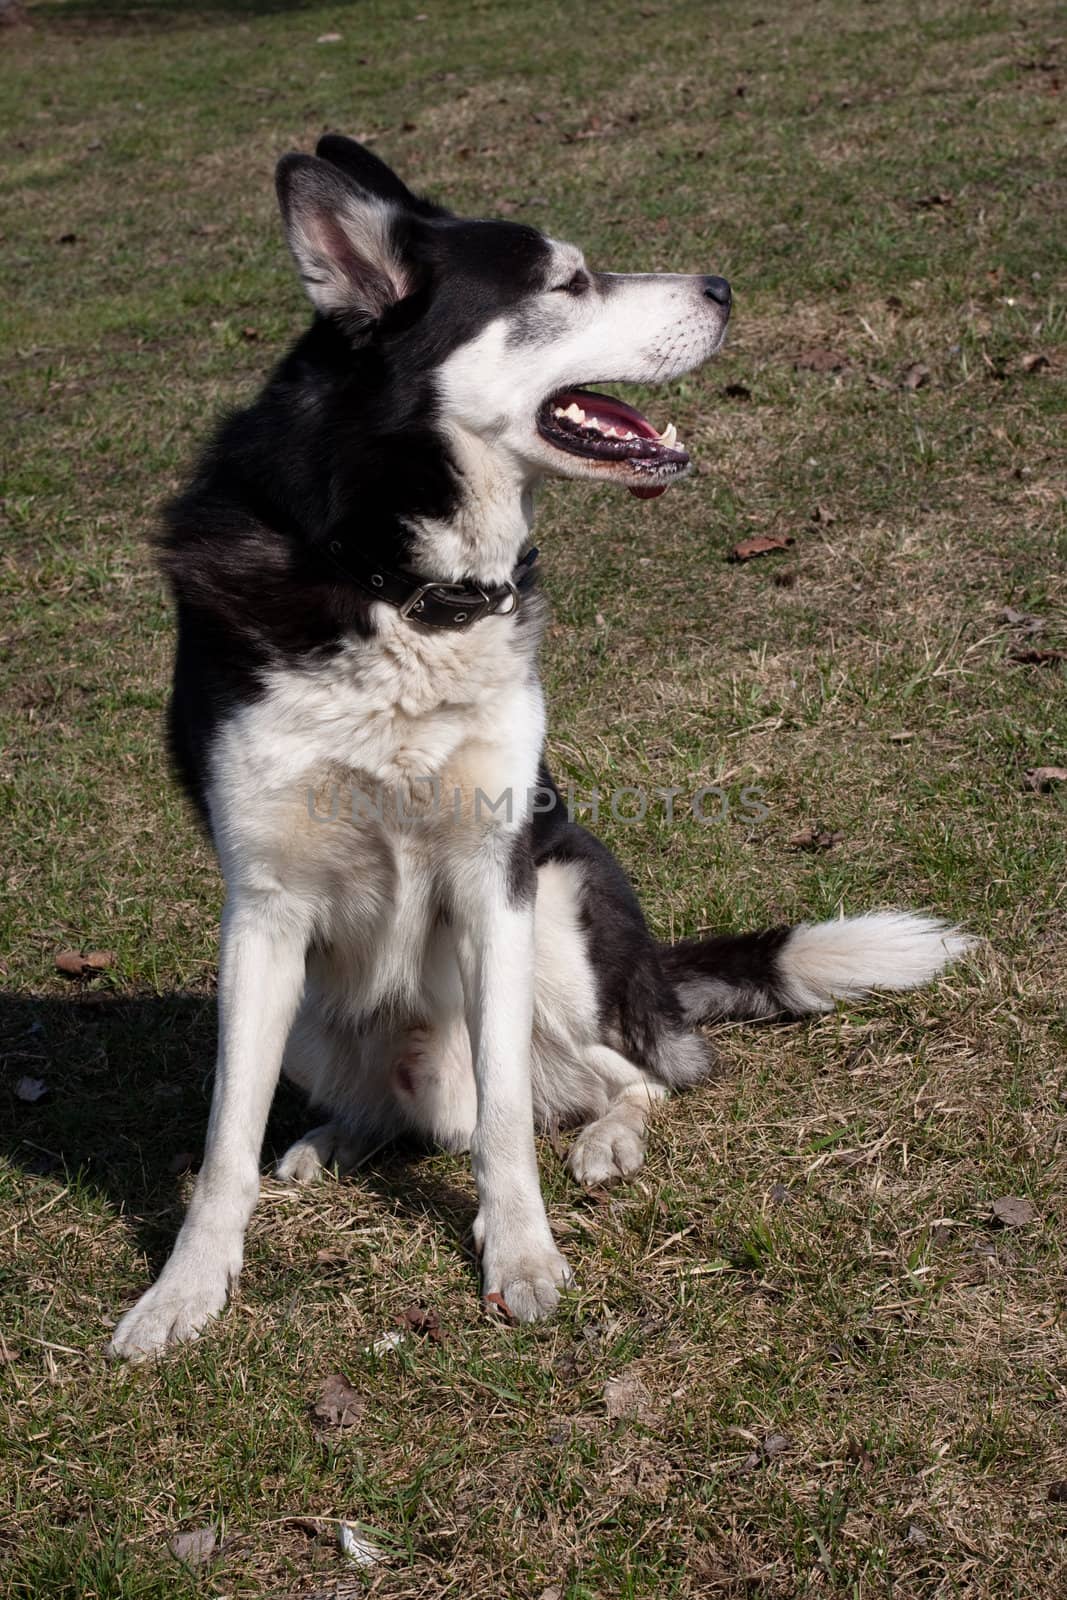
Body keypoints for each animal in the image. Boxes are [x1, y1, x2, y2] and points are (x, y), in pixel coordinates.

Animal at [106, 140, 966, 1363]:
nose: (723, 288)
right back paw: (330, 1143)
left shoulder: (494, 877)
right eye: (567, 281)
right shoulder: (262, 911)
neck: (399, 583)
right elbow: (227, 1136)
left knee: (638, 1074)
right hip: (316, 1010)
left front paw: (519, 1254)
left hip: (559, 909)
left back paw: (607, 1138)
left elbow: (511, 1116)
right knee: (377, 1103)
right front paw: (185, 1290)